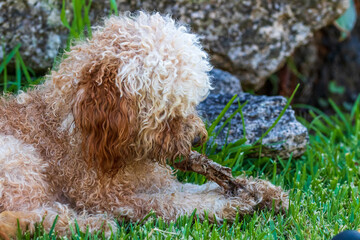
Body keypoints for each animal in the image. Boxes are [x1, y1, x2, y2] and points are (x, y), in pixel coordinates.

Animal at [0, 12, 286, 235]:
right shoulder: (109, 197)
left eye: (190, 102)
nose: (196, 140)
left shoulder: (154, 183)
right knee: (30, 218)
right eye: (166, 109)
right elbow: (175, 202)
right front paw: (232, 204)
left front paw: (261, 190)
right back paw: (93, 226)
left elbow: (194, 188)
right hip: (17, 158)